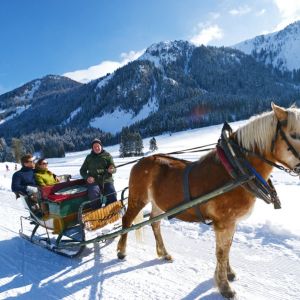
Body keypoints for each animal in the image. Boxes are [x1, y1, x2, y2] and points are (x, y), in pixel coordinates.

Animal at [116, 102, 300, 298]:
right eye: (294, 134)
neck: (236, 169)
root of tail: (140, 161)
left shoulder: (231, 222)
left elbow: (228, 248)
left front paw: (228, 273)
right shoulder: (224, 222)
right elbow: (221, 252)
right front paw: (224, 286)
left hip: (159, 204)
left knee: (154, 223)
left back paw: (164, 253)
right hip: (138, 198)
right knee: (127, 221)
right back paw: (121, 251)